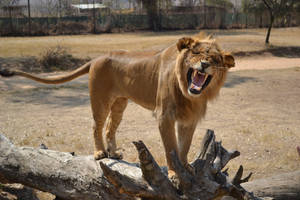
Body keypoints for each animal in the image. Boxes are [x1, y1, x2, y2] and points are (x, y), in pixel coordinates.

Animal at [0, 33, 234, 174]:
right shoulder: (165, 116)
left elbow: (184, 146)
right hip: (100, 99)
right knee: (97, 126)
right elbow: (171, 148)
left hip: (120, 103)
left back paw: (113, 153)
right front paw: (175, 174)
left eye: (214, 59)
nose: (204, 64)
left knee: (110, 127)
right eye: (196, 53)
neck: (188, 92)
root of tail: (96, 59)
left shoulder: (189, 119)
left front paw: (186, 168)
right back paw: (100, 153)